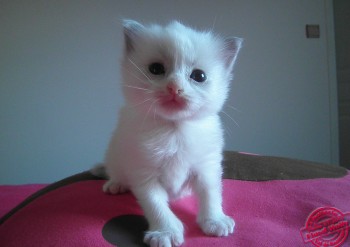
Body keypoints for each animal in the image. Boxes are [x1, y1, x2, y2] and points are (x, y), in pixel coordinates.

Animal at [102, 19, 242, 247]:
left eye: (199, 76)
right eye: (156, 69)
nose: (174, 87)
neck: (174, 129)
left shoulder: (207, 167)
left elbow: (211, 195)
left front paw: (215, 221)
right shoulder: (143, 172)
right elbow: (156, 205)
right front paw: (165, 232)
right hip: (115, 153)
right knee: (115, 171)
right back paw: (115, 184)